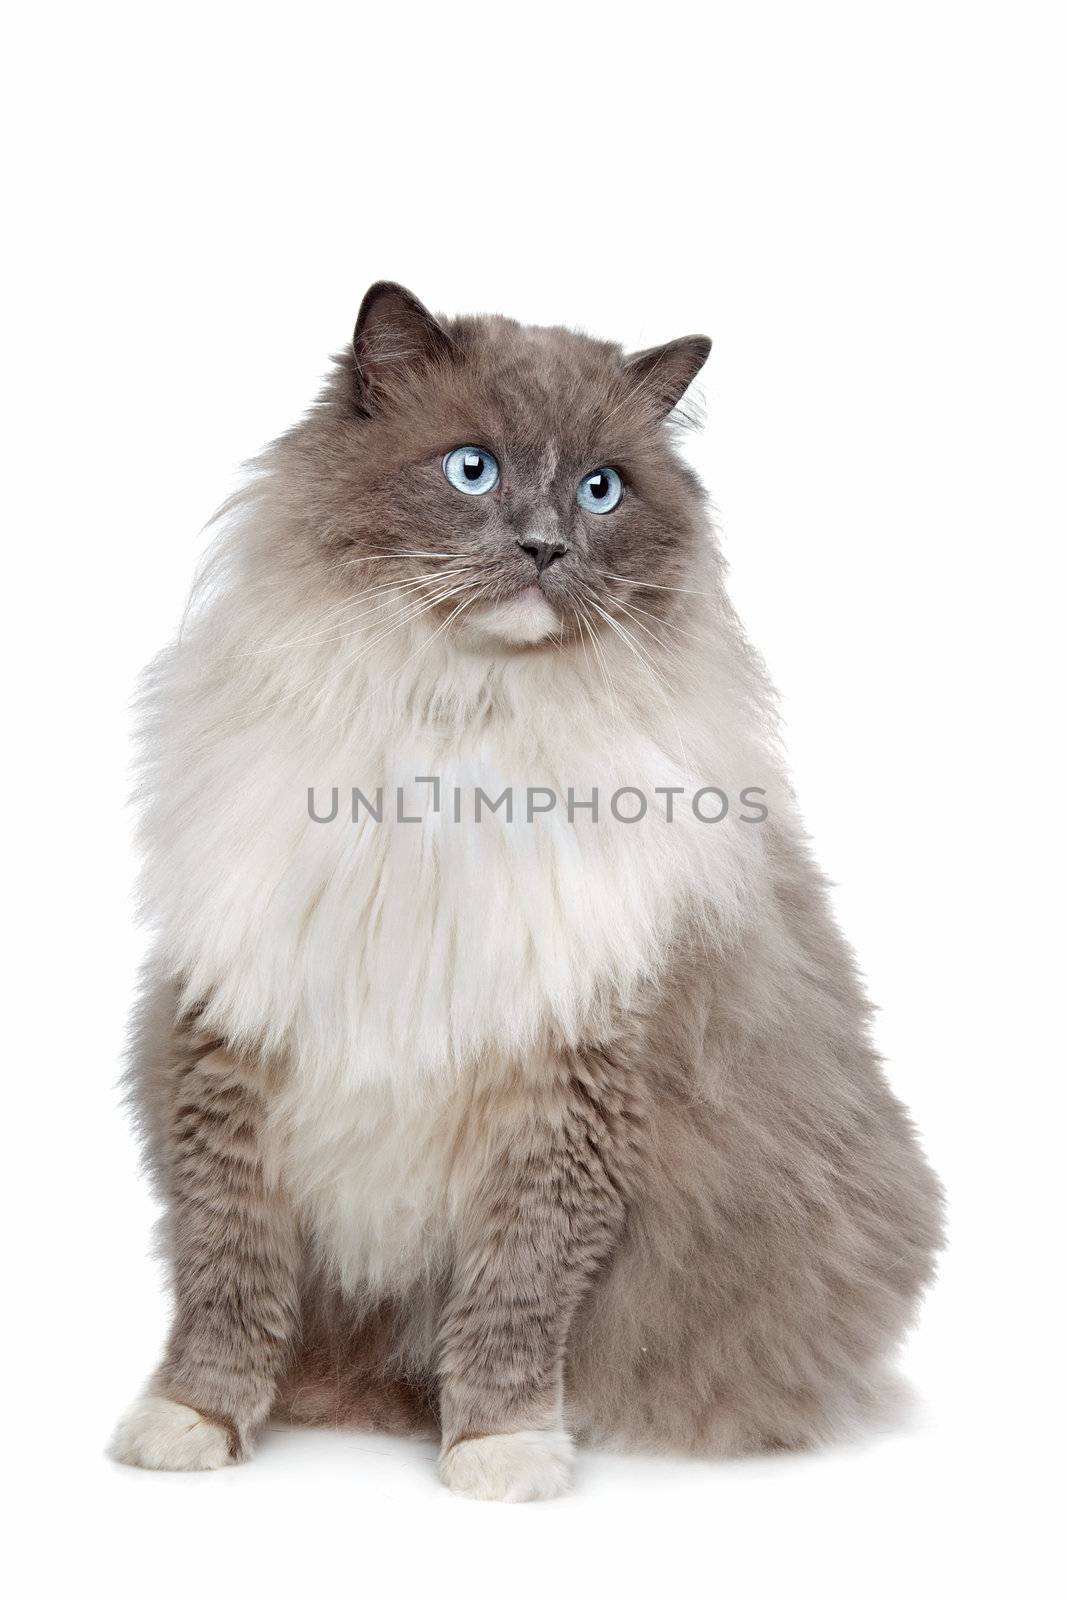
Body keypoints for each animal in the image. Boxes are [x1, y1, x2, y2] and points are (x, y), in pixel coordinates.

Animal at [108, 284, 940, 1497]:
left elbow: (517, 1295)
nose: (545, 546)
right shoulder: (236, 1049)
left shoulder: (566, 1080)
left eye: (601, 489)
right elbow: (227, 1282)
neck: (457, 731)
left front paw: (499, 1450)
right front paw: (193, 1423)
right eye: (473, 470)